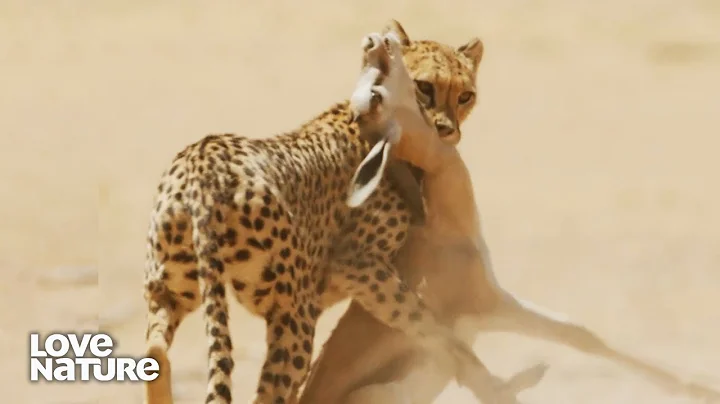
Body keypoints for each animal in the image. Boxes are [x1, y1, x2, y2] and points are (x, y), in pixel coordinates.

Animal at [142, 21, 496, 404]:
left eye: (465, 96)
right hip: (294, 315)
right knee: (269, 393)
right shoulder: (359, 264)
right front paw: (482, 376)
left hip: (174, 289)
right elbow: (429, 324)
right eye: (426, 87)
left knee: (155, 350)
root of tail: (202, 160)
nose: (447, 130)